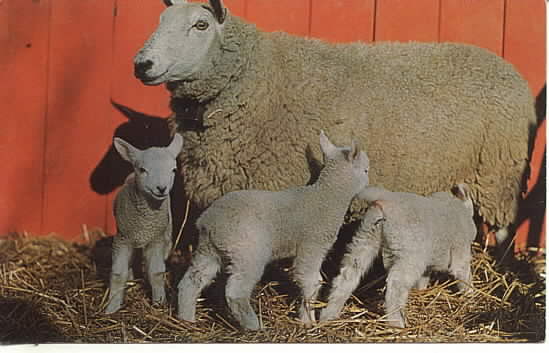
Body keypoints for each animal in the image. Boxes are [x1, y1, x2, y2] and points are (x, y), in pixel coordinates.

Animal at [105, 133, 184, 314]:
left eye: (173, 170)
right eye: (142, 169)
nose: (161, 188)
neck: (145, 221)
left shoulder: (156, 240)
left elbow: (156, 273)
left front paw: (159, 302)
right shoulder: (122, 239)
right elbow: (118, 274)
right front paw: (112, 307)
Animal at [133, 0, 536, 236]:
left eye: (200, 25)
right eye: (160, 19)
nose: (142, 64)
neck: (255, 75)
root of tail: (505, 65)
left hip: (498, 172)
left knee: (501, 228)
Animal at [178, 131, 370, 328]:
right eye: (366, 170)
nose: (369, 182)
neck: (328, 196)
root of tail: (208, 222)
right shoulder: (312, 245)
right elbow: (311, 281)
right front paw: (308, 320)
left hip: (208, 251)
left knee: (191, 281)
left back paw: (186, 318)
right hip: (248, 252)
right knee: (235, 292)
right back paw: (254, 326)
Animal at [318, 184, 478, 328]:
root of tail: (385, 199)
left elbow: (423, 279)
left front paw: (420, 292)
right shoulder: (461, 252)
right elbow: (463, 273)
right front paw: (470, 294)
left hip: (365, 238)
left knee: (347, 275)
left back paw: (329, 315)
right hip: (409, 252)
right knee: (396, 285)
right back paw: (396, 322)